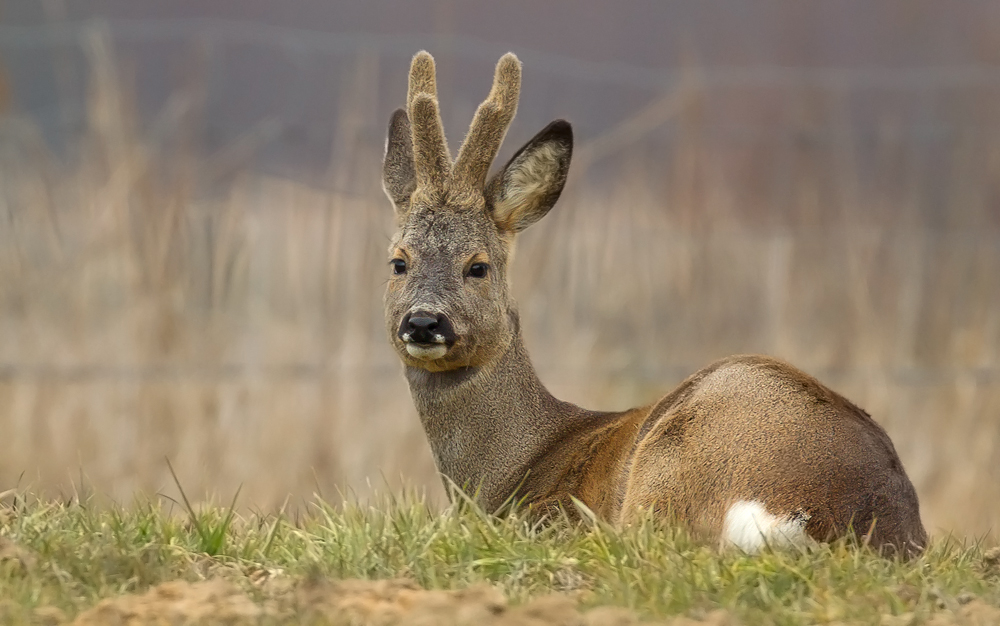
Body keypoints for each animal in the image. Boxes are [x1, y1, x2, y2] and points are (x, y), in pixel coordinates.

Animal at [378, 51, 924, 552]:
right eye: (398, 262)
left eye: (478, 266)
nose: (424, 322)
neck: (517, 466)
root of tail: (838, 517)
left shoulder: (557, 514)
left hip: (674, 460)